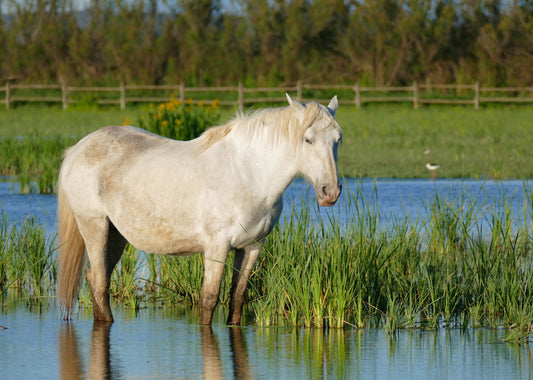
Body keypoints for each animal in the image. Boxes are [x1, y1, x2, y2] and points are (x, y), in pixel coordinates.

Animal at [57, 94, 340, 324]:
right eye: (307, 140)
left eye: (338, 140)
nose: (331, 192)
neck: (248, 174)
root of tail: (79, 148)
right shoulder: (217, 246)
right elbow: (209, 299)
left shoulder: (252, 247)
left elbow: (237, 297)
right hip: (94, 227)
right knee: (99, 281)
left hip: (116, 235)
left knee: (96, 278)